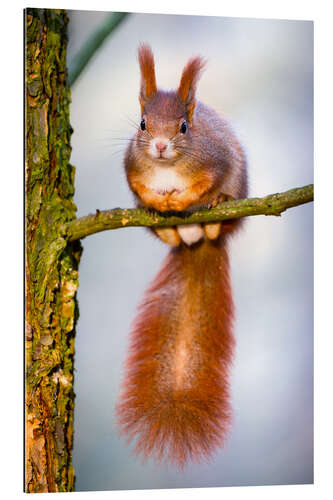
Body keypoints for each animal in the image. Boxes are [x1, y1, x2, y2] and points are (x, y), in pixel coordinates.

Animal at [115, 44, 246, 468]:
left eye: (184, 128)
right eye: (143, 124)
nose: (159, 146)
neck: (166, 167)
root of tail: (195, 241)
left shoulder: (216, 159)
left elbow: (205, 181)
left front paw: (183, 199)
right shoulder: (131, 165)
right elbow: (138, 184)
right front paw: (158, 200)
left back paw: (214, 212)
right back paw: (166, 223)